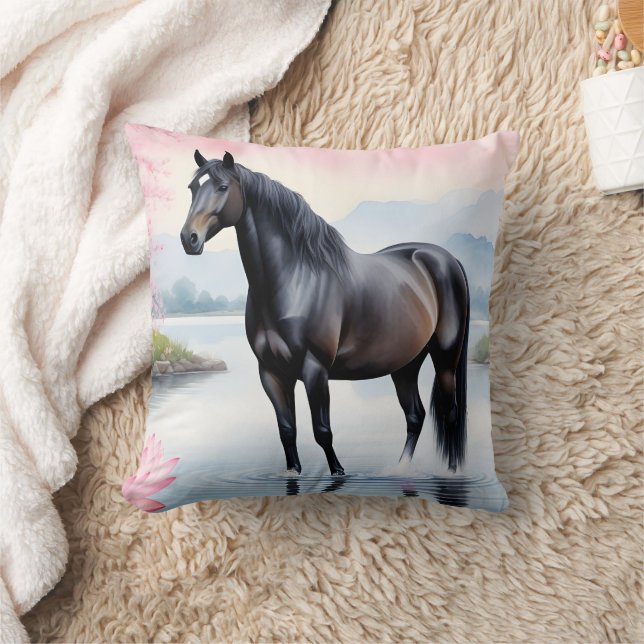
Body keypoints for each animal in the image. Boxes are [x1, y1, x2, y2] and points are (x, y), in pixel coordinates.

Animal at [180, 150, 470, 476]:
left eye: (222, 187)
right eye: (192, 188)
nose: (189, 238)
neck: (295, 281)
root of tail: (446, 259)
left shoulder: (314, 369)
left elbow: (322, 431)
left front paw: (338, 472)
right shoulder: (271, 372)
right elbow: (287, 430)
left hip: (445, 357)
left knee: (450, 413)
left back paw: (451, 472)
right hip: (405, 364)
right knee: (415, 415)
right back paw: (400, 469)